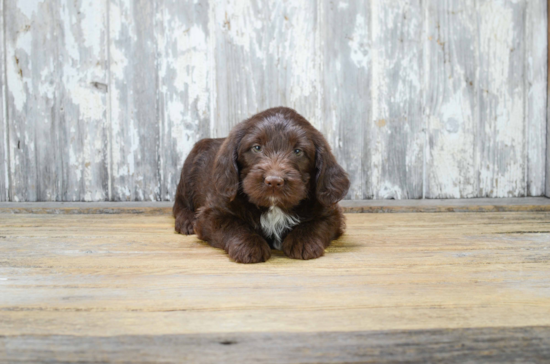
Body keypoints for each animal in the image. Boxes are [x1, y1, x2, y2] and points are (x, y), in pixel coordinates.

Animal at [175, 106, 352, 264]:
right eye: (256, 148)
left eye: (298, 151)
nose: (274, 181)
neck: (274, 207)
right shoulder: (212, 213)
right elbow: (232, 224)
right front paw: (249, 245)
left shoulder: (331, 212)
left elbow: (316, 223)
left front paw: (303, 240)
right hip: (188, 172)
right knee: (180, 203)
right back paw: (186, 220)